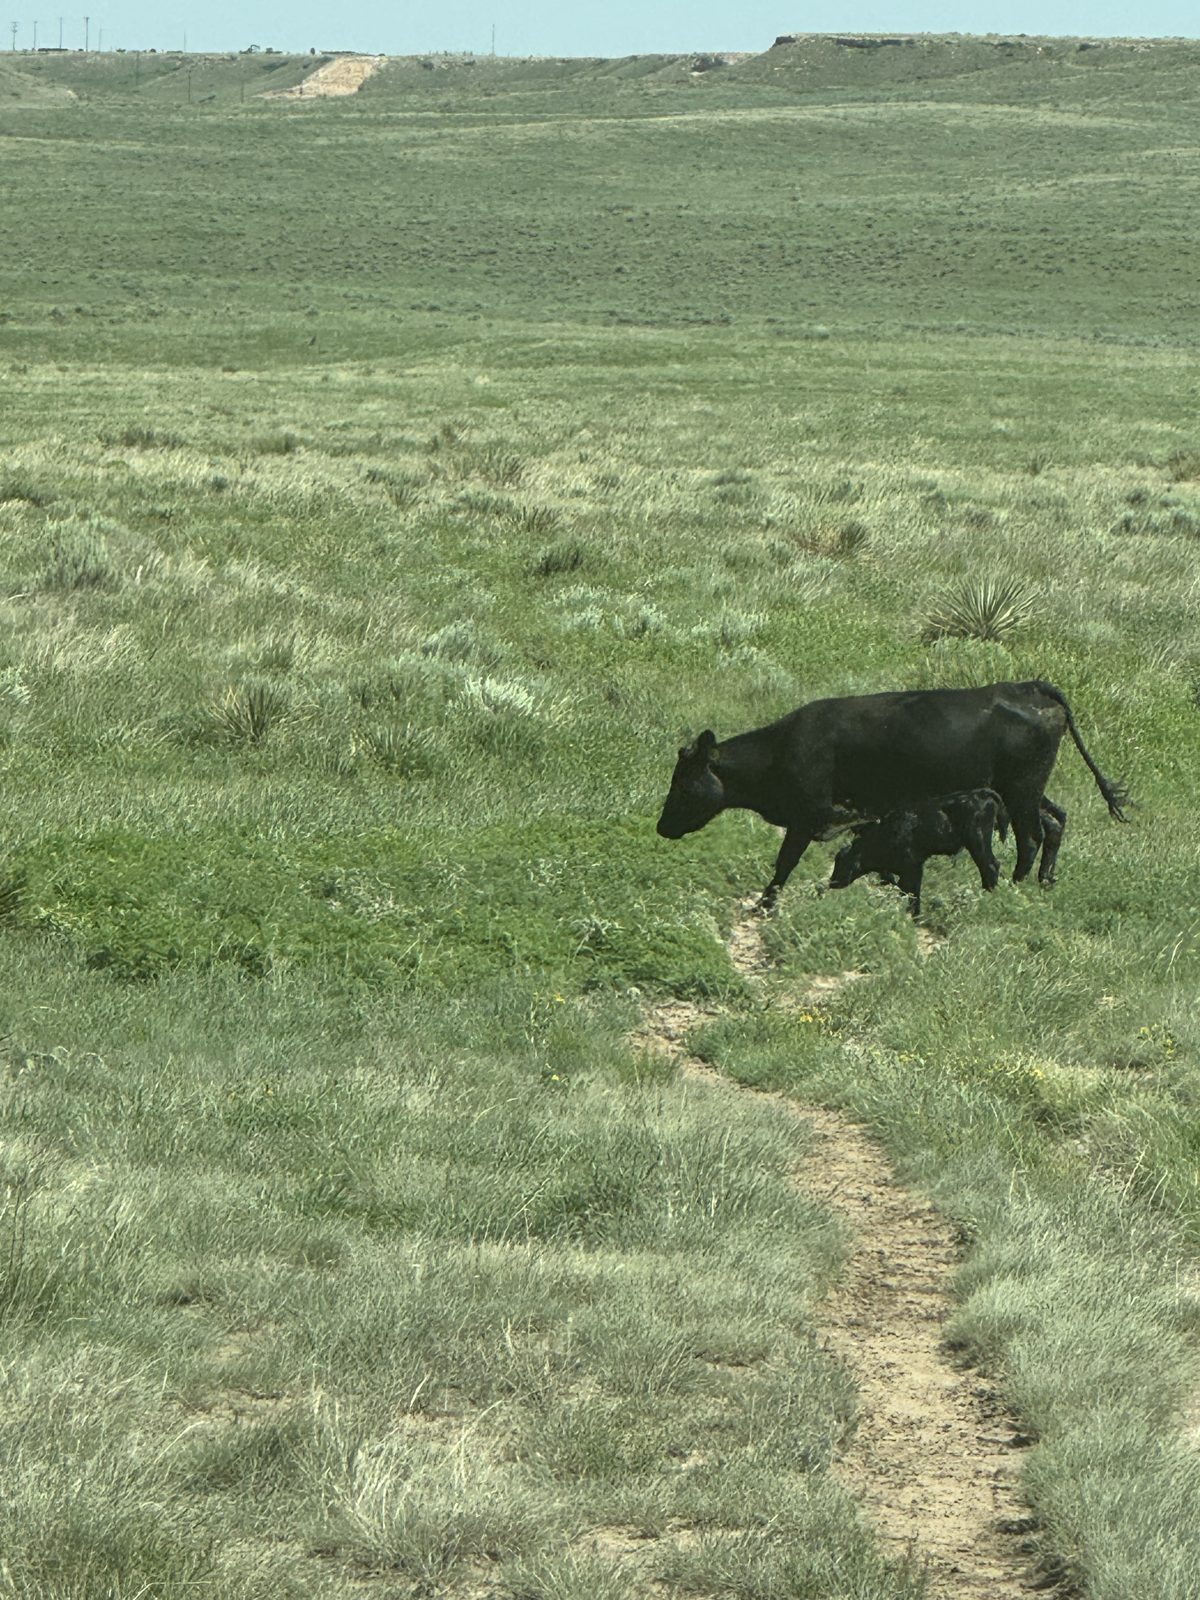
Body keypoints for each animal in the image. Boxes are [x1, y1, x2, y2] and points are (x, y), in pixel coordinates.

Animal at [827, 788, 1009, 917]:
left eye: (845, 863)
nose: (832, 882)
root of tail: (981, 793)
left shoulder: (914, 867)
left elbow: (913, 892)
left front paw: (915, 916)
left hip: (978, 841)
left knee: (991, 865)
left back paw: (987, 897)